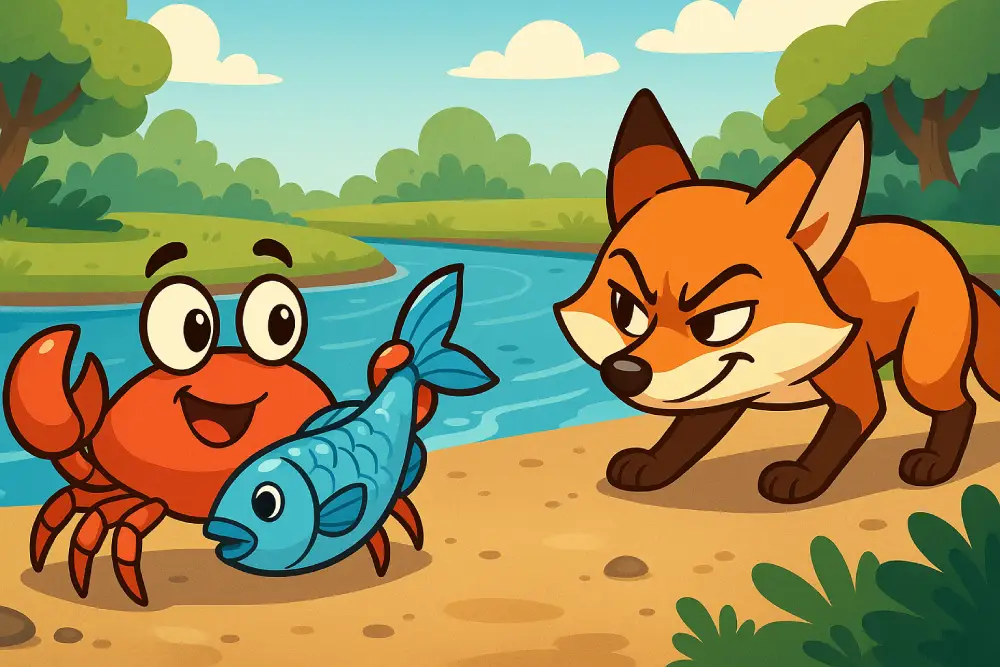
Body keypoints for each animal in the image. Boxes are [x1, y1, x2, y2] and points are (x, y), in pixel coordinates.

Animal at [554, 88, 1000, 504]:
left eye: (718, 324)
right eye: (625, 309)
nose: (626, 371)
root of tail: (955, 260)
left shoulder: (850, 379)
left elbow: (856, 419)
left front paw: (804, 478)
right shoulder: (715, 387)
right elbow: (684, 436)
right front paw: (655, 466)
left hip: (920, 370)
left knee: (961, 405)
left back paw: (936, 464)